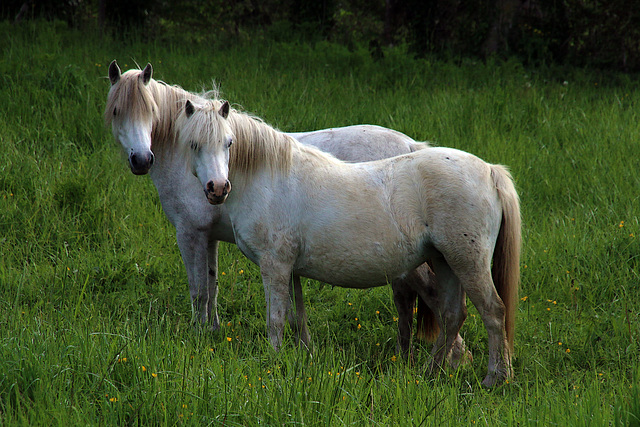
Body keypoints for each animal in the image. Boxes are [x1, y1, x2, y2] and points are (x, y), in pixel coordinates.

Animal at [101, 60, 470, 362]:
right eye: (117, 111)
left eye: (149, 110)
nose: (141, 160)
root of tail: (410, 146)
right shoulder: (210, 237)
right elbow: (213, 285)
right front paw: (213, 332)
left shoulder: (190, 233)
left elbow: (199, 290)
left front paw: (199, 335)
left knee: (429, 296)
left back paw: (448, 357)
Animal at [175, 98, 520, 388]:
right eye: (193, 144)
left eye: (229, 142)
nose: (218, 188)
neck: (269, 178)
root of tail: (490, 171)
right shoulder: (290, 269)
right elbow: (296, 315)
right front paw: (303, 354)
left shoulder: (274, 266)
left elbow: (275, 320)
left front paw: (272, 361)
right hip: (444, 261)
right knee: (452, 316)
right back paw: (430, 373)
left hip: (467, 261)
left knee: (493, 312)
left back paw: (495, 378)